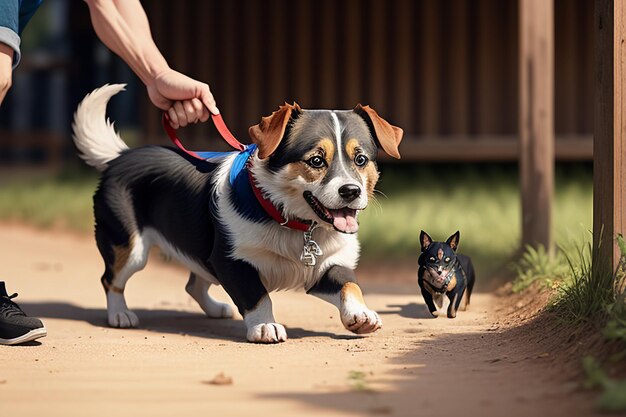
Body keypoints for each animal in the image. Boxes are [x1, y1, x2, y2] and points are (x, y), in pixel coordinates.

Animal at [72, 83, 400, 342]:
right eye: (316, 160)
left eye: (360, 159)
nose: (351, 192)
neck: (295, 223)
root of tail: (121, 155)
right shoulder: (231, 261)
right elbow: (257, 295)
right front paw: (265, 326)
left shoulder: (327, 266)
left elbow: (350, 284)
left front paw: (361, 314)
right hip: (130, 246)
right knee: (111, 279)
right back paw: (120, 314)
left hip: (200, 248)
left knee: (194, 283)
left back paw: (216, 309)